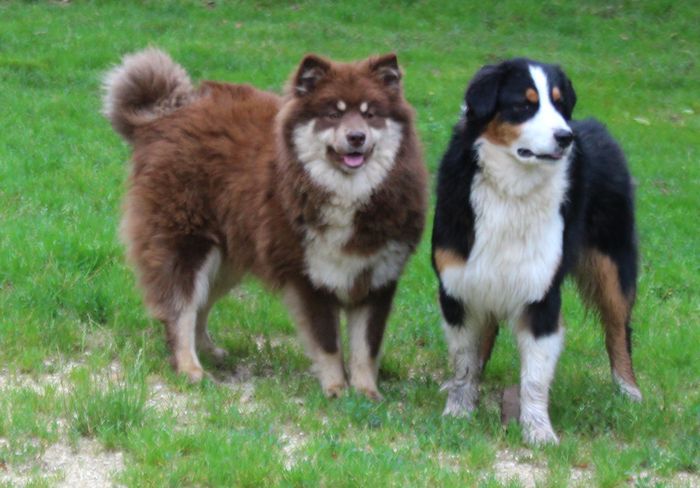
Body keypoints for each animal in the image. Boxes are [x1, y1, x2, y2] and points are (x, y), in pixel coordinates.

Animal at [103, 49, 427, 399]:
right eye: (332, 114)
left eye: (371, 115)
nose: (356, 137)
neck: (345, 193)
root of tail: (162, 117)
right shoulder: (309, 277)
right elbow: (328, 344)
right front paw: (336, 389)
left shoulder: (377, 278)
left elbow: (366, 348)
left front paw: (367, 393)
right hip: (187, 246)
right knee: (181, 311)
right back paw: (190, 367)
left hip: (227, 258)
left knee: (202, 305)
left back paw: (209, 352)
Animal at [431, 58, 640, 444]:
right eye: (524, 105)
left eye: (559, 103)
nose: (565, 137)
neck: (512, 191)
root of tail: (597, 127)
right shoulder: (458, 286)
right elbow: (464, 360)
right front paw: (459, 411)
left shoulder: (542, 292)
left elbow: (535, 377)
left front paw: (539, 431)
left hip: (613, 266)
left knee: (619, 330)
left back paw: (629, 392)